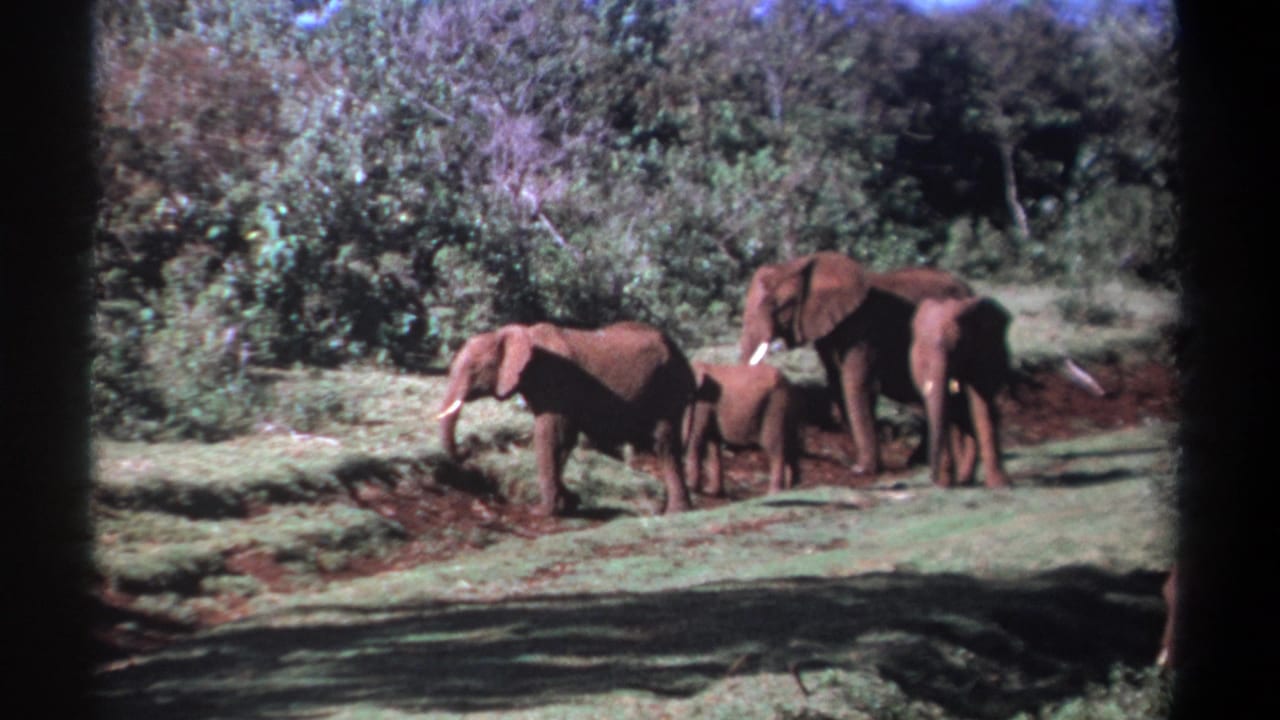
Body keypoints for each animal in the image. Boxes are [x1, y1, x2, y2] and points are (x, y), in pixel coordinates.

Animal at [436, 321, 696, 516]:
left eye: (475, 369)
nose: (467, 453)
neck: (521, 333)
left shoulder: (554, 381)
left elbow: (549, 435)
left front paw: (542, 512)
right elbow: (565, 439)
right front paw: (569, 502)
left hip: (667, 386)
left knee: (664, 444)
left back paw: (676, 512)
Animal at [684, 361, 802, 497]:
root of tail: (788, 382)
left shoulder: (702, 404)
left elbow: (696, 438)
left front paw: (692, 488)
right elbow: (713, 443)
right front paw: (712, 491)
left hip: (775, 406)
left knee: (774, 446)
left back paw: (774, 493)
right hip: (787, 409)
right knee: (790, 445)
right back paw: (791, 489)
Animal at [739, 252, 974, 476]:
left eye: (780, 305)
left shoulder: (864, 329)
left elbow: (858, 383)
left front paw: (862, 469)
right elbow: (838, 382)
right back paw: (920, 463)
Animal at [909, 295, 1013, 489]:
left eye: (957, 346)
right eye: (922, 346)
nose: (932, 478)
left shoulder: (983, 353)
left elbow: (982, 405)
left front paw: (1001, 484)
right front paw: (945, 484)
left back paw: (966, 479)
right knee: (958, 417)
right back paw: (963, 479)